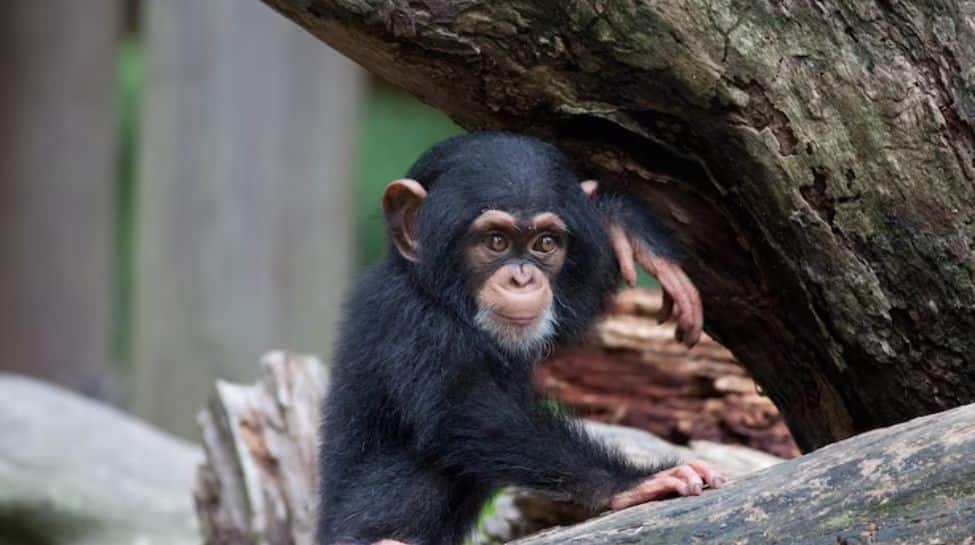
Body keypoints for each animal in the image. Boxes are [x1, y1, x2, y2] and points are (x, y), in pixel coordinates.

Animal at [318, 133, 719, 545]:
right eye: (496, 241)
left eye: (544, 243)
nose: (522, 279)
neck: (442, 298)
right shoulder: (412, 321)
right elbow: (467, 409)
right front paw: (632, 483)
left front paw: (623, 226)